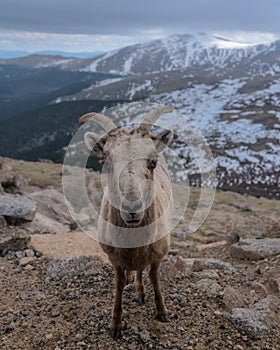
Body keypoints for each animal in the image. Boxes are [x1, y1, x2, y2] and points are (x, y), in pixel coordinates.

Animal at [79, 106, 174, 340]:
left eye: (152, 162)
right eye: (105, 160)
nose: (132, 209)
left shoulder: (158, 254)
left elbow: (154, 277)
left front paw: (162, 311)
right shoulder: (114, 258)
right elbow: (119, 284)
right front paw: (115, 325)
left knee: (141, 270)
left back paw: (140, 291)